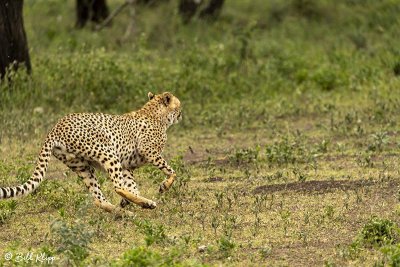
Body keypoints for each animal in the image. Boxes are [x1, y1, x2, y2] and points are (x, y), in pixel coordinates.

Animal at [0, 92, 181, 218]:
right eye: (179, 106)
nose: (181, 115)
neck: (155, 113)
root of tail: (56, 127)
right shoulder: (148, 151)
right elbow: (172, 171)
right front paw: (164, 186)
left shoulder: (127, 166)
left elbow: (132, 187)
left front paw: (127, 203)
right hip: (108, 153)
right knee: (117, 186)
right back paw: (146, 204)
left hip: (82, 167)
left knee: (99, 199)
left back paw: (126, 212)